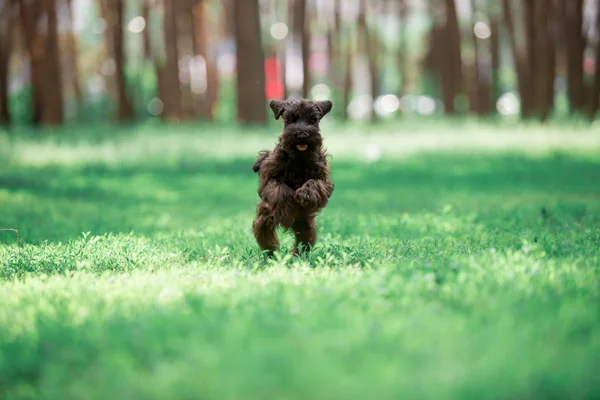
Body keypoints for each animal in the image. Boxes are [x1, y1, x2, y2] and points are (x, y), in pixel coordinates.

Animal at [252, 98, 336, 258]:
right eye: (290, 118)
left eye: (313, 119)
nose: (302, 134)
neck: (299, 160)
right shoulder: (268, 180)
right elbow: (278, 188)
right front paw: (285, 209)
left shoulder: (324, 181)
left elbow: (315, 183)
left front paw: (305, 194)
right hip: (263, 220)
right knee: (267, 238)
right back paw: (272, 255)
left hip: (306, 226)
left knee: (303, 242)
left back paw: (296, 256)